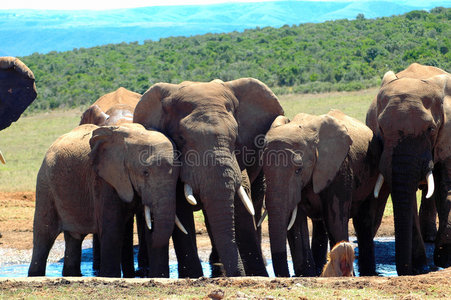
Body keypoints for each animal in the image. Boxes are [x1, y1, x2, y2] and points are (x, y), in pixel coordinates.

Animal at [27, 123, 180, 278]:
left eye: (178, 176)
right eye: (145, 172)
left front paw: (159, 277)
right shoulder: (104, 179)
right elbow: (113, 228)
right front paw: (110, 276)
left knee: (74, 237)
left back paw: (72, 275)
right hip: (45, 183)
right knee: (44, 234)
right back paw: (35, 275)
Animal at [132, 77, 286, 276]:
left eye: (235, 139)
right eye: (181, 139)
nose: (237, 275)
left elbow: (241, 201)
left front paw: (256, 275)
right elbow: (180, 208)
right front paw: (193, 276)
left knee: (255, 202)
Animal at [368, 62, 451, 274]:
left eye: (431, 129)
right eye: (380, 128)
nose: (405, 270)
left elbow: (446, 188)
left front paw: (444, 260)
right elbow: (407, 196)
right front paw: (421, 266)